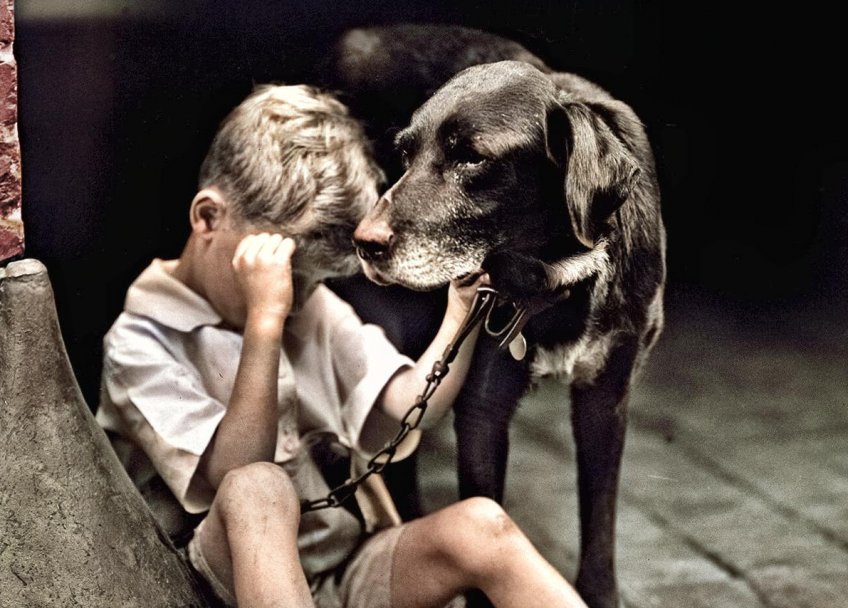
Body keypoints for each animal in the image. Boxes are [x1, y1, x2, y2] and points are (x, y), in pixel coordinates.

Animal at [324, 25, 664, 608]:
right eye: (404, 154)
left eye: (472, 158)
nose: (364, 243)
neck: (557, 275)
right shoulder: (483, 405)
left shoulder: (607, 394)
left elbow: (599, 526)